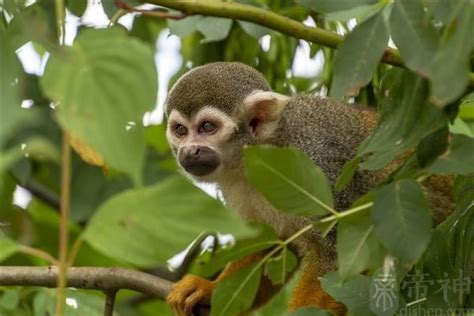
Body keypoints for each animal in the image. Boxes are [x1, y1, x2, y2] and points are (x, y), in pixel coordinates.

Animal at [165, 63, 454, 314]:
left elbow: (336, 255)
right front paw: (208, 289)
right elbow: (273, 247)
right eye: (180, 130)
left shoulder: (316, 163)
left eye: (207, 127)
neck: (257, 156)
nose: (189, 152)